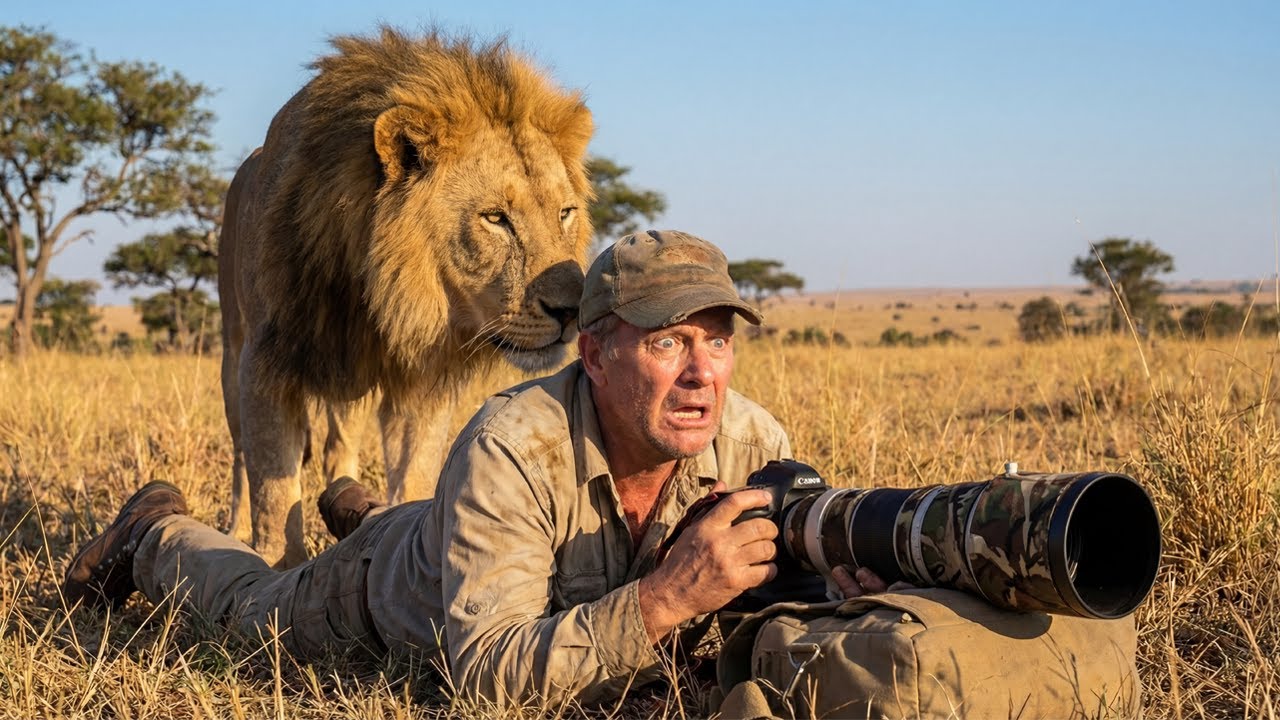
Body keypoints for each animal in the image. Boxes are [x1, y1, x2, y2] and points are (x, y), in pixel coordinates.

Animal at [218, 27, 594, 568]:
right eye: (495, 218)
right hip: (233, 348)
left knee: (337, 445)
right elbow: (272, 482)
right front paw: (275, 562)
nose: (571, 311)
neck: (384, 300)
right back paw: (234, 526)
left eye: (565, 213)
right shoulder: (267, 360)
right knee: (240, 454)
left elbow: (415, 468)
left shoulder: (422, 380)